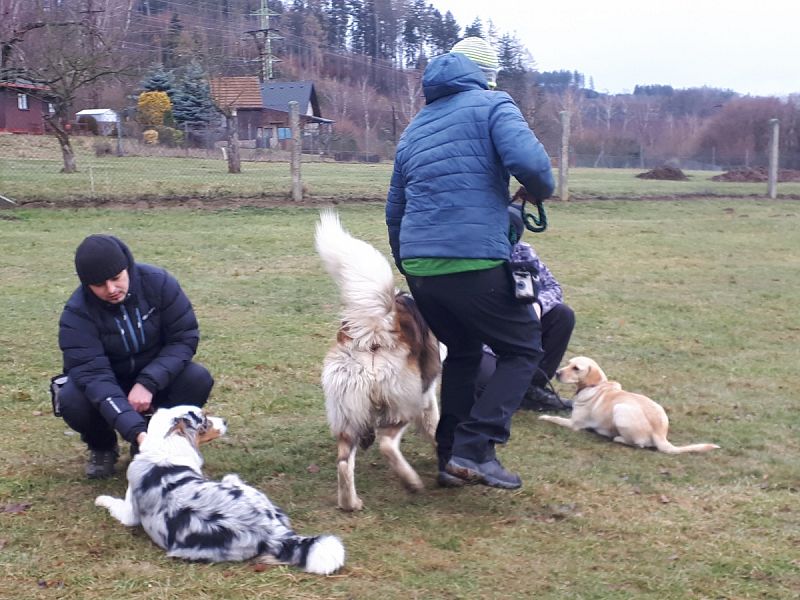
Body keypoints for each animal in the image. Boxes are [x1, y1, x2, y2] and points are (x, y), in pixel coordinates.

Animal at [94, 406, 344, 576]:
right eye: (204, 419)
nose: (225, 420)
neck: (166, 445)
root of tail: (270, 529)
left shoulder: (129, 515)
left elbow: (112, 502)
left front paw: (100, 499)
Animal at [316, 210, 440, 510]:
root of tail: (375, 331)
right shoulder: (427, 394)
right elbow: (435, 424)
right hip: (403, 402)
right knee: (387, 442)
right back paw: (411, 482)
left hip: (347, 410)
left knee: (343, 462)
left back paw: (351, 503)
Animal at [540, 356, 720, 454]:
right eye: (569, 362)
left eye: (576, 368)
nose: (557, 373)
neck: (596, 386)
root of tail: (661, 434)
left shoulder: (574, 424)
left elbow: (554, 418)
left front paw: (544, 416)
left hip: (620, 409)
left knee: (639, 444)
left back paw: (616, 437)